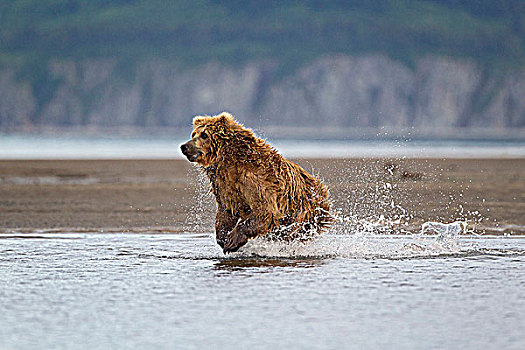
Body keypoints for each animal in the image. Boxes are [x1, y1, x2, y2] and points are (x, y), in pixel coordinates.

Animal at [181, 113, 332, 253]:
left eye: (204, 135)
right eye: (193, 134)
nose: (185, 146)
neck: (228, 161)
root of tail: (322, 191)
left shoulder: (254, 181)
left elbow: (265, 210)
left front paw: (232, 241)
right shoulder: (224, 185)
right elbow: (226, 212)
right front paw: (223, 238)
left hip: (303, 213)